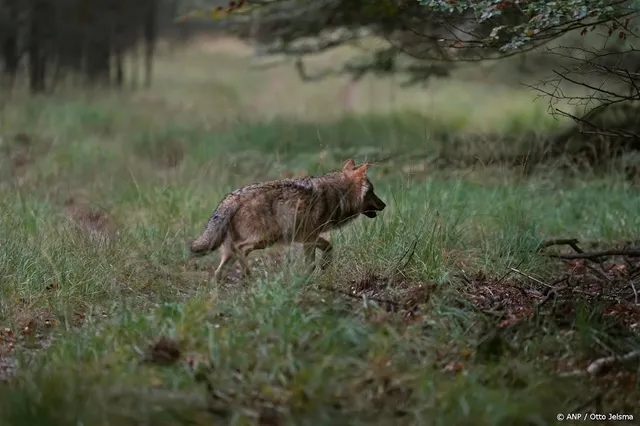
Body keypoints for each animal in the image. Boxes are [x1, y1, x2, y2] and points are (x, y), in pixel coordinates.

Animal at [190, 158, 388, 282]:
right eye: (372, 191)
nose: (384, 205)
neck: (339, 194)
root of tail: (232, 197)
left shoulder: (309, 237)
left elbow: (329, 247)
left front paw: (324, 266)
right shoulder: (308, 239)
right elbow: (311, 263)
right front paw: (308, 278)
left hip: (231, 251)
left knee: (217, 274)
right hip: (264, 240)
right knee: (242, 250)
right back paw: (249, 278)